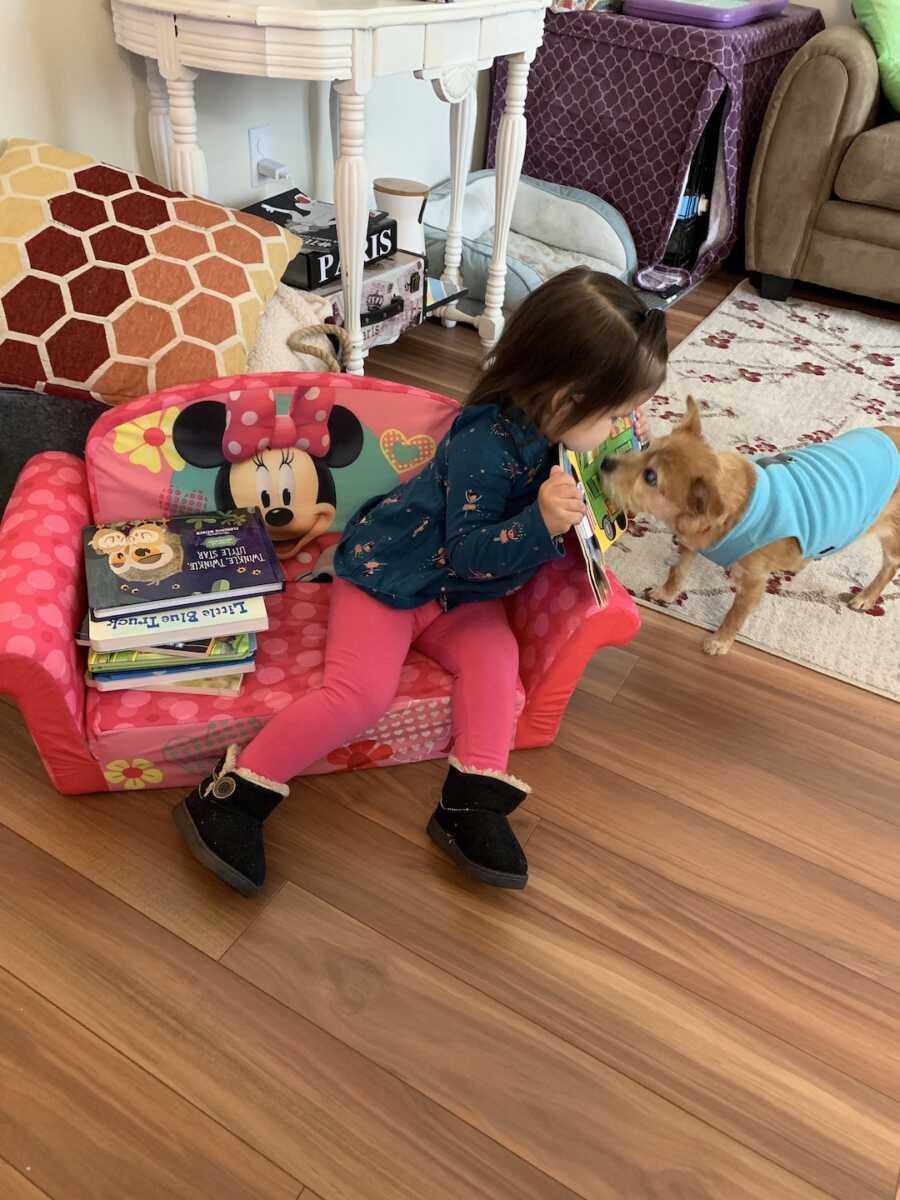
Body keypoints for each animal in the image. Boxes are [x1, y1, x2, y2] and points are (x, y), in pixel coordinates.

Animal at [600, 398, 900, 652]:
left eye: (650, 477)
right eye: (648, 446)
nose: (604, 462)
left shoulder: (754, 582)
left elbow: (735, 614)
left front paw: (720, 641)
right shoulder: (689, 546)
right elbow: (677, 572)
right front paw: (666, 592)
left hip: (892, 539)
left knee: (890, 566)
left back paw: (867, 596)